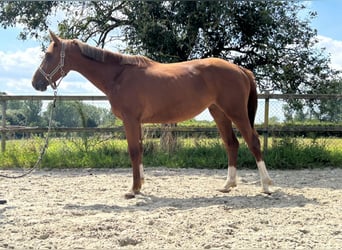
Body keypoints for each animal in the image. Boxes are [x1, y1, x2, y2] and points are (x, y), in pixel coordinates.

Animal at [31, 31, 272, 199]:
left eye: (48, 55)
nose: (36, 82)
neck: (118, 75)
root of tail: (240, 69)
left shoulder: (130, 120)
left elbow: (133, 151)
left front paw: (133, 189)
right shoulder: (137, 122)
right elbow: (139, 151)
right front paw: (140, 186)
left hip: (236, 112)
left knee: (253, 141)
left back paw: (266, 185)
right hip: (219, 113)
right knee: (231, 144)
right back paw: (228, 185)